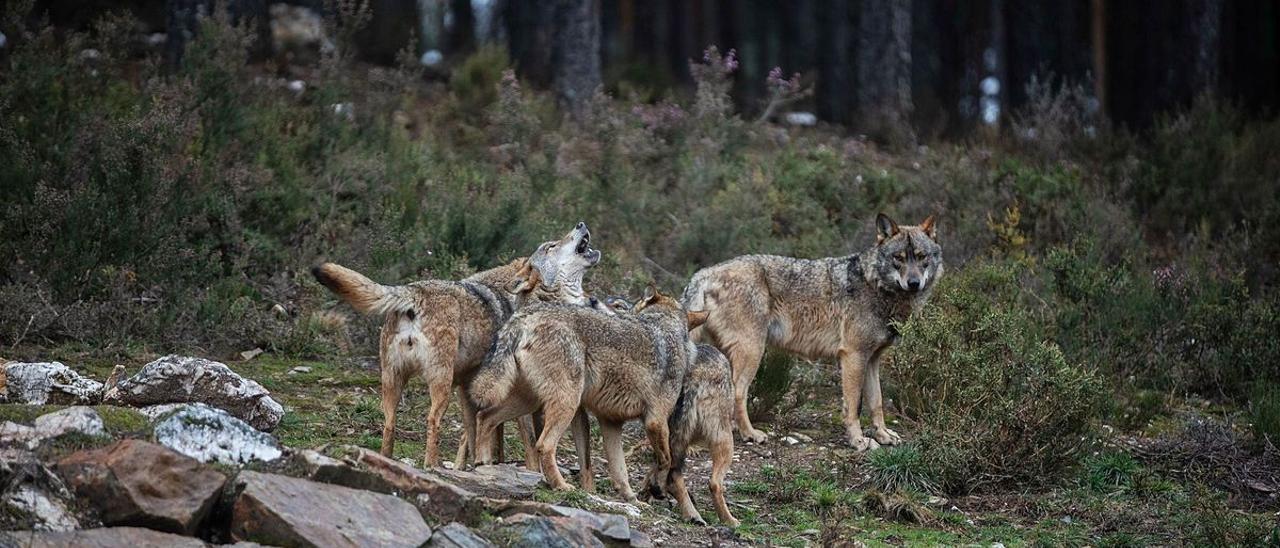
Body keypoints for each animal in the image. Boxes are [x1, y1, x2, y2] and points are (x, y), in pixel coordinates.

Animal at [309, 222, 599, 466]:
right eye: (551, 246)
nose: (581, 224)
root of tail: (413, 291)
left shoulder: (469, 389)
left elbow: (476, 435)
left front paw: (475, 465)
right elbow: (523, 442)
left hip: (393, 381)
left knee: (389, 424)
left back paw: (385, 460)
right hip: (441, 382)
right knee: (432, 420)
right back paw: (431, 466)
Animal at [468, 286, 696, 501]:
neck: (666, 328)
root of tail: (527, 315)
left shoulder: (610, 422)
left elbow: (620, 470)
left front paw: (633, 500)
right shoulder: (656, 421)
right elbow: (666, 459)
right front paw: (657, 489)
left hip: (528, 402)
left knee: (485, 416)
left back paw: (483, 465)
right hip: (565, 404)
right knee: (543, 445)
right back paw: (560, 485)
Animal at [680, 212, 942, 450]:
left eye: (922, 257)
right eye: (898, 258)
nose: (914, 283)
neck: (874, 285)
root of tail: (705, 272)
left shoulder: (872, 360)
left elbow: (876, 403)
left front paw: (884, 435)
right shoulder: (853, 356)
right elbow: (853, 406)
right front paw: (858, 441)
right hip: (752, 351)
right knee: (738, 393)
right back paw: (750, 434)